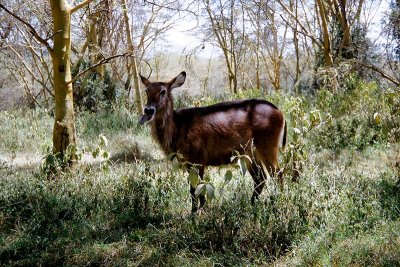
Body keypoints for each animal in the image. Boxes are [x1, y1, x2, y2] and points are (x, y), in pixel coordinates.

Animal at [139, 71, 286, 214]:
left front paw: (196, 213)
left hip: (267, 147)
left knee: (277, 174)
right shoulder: (189, 163)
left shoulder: (198, 160)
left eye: (163, 91)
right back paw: (251, 206)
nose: (148, 110)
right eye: (146, 91)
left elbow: (196, 189)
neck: (177, 127)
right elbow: (197, 189)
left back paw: (279, 203)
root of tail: (280, 111)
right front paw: (198, 211)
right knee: (261, 178)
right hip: (249, 153)